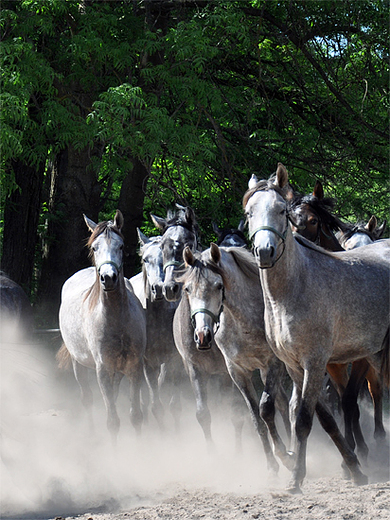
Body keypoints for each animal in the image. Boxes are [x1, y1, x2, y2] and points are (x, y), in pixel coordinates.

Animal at [58, 209, 147, 444]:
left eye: (121, 246)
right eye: (94, 247)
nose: (108, 277)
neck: (117, 319)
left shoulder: (134, 367)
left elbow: (136, 416)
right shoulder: (103, 370)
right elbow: (112, 422)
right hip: (79, 364)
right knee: (87, 399)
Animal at [129, 231, 185, 430]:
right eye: (146, 259)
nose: (159, 289)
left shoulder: (175, 361)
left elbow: (174, 404)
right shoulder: (148, 364)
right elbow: (156, 406)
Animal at [180, 244, 292, 472]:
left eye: (218, 286)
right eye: (187, 289)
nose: (202, 335)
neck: (243, 323)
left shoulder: (272, 365)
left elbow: (266, 409)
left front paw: (283, 456)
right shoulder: (237, 372)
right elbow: (256, 417)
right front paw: (271, 465)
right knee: (282, 403)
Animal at [290, 185, 386, 462]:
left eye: (313, 221)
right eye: (290, 218)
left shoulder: (362, 359)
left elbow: (350, 400)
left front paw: (357, 449)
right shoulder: (332, 364)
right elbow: (345, 400)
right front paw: (353, 446)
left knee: (375, 389)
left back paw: (379, 436)